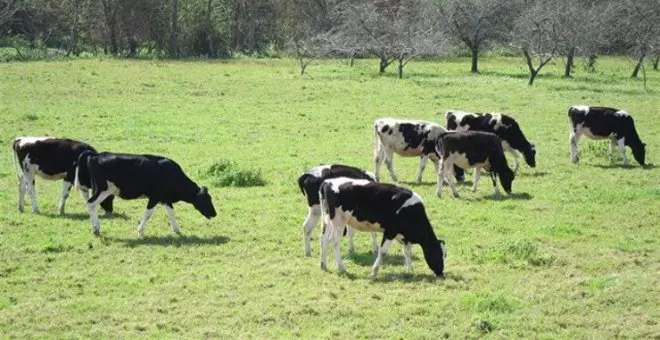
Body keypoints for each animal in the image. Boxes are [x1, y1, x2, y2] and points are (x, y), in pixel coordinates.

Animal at [76, 151, 217, 236]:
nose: (214, 214)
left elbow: (171, 213)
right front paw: (140, 231)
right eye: (206, 200)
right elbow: (148, 213)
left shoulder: (165, 198)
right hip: (103, 189)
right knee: (91, 203)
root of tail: (96, 155)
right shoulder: (154, 197)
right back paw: (96, 228)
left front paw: (177, 230)